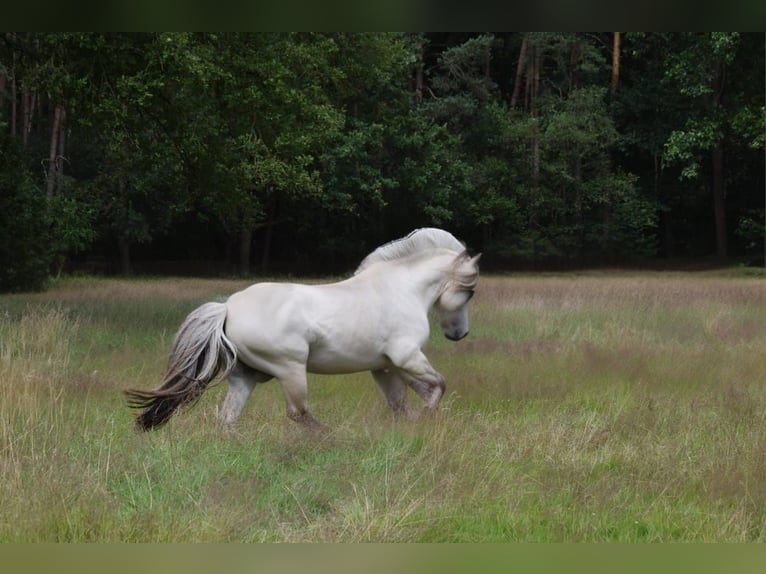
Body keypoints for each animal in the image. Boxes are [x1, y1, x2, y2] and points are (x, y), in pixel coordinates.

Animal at [129, 228, 484, 432]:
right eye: (470, 292)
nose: (459, 334)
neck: (402, 288)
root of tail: (228, 307)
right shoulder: (407, 356)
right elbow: (437, 387)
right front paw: (426, 418)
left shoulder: (386, 366)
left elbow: (404, 403)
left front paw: (415, 425)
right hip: (291, 369)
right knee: (298, 412)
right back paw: (332, 437)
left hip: (245, 376)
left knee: (229, 416)